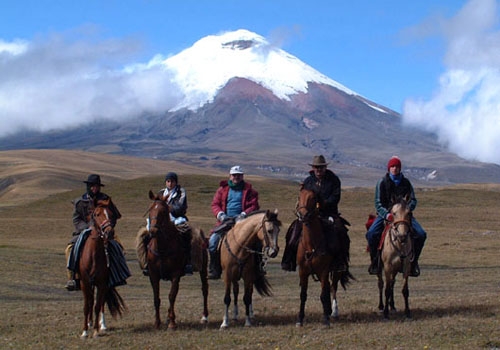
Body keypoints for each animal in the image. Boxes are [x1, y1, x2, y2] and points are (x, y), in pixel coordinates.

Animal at [79, 198, 127, 338]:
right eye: (96, 214)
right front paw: (84, 331)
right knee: (90, 301)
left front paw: (96, 331)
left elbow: (97, 305)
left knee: (100, 303)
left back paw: (102, 325)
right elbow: (87, 306)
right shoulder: (84, 282)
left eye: (111, 215)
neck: (93, 256)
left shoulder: (102, 283)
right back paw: (89, 323)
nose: (109, 232)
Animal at [135, 190, 209, 330]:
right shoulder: (153, 275)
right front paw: (157, 323)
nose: (153, 231)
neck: (162, 248)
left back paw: (204, 317)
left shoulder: (176, 274)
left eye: (164, 211)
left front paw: (172, 323)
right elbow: (156, 298)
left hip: (203, 268)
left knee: (204, 289)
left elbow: (171, 296)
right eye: (150, 210)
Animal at [294, 187, 354, 326]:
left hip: (337, 270)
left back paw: (333, 312)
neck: (311, 244)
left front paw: (325, 319)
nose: (302, 215)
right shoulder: (302, 272)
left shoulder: (323, 271)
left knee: (333, 287)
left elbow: (323, 294)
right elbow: (303, 295)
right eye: (299, 196)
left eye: (313, 198)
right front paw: (300, 319)